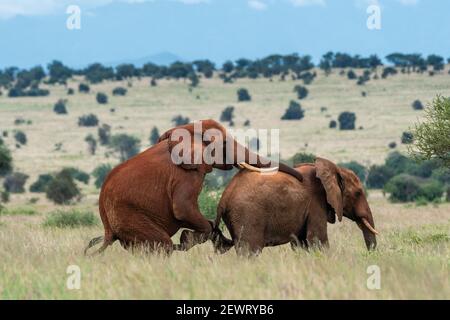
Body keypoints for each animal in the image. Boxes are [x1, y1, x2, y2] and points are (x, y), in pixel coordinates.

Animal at [84, 118, 302, 255]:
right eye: (224, 144)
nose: (300, 177)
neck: (188, 130)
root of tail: (106, 228)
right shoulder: (186, 175)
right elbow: (182, 208)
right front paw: (187, 241)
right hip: (131, 218)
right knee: (162, 245)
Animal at [213, 157, 378, 255]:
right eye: (358, 193)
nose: (370, 255)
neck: (334, 169)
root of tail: (224, 197)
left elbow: (301, 243)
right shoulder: (316, 203)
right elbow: (318, 239)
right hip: (247, 215)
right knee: (250, 252)